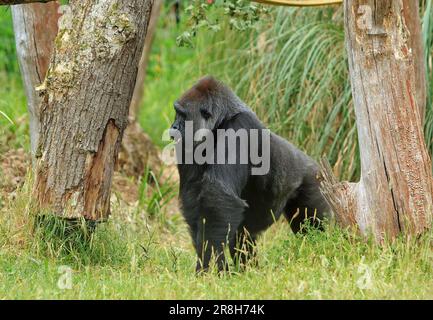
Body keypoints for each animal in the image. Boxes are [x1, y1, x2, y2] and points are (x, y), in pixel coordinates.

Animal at [170, 76, 330, 272]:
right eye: (177, 113)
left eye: (183, 115)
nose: (174, 127)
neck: (222, 121)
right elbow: (194, 200)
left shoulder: (240, 127)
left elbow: (218, 197)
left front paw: (210, 265)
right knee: (243, 236)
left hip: (314, 181)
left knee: (315, 227)